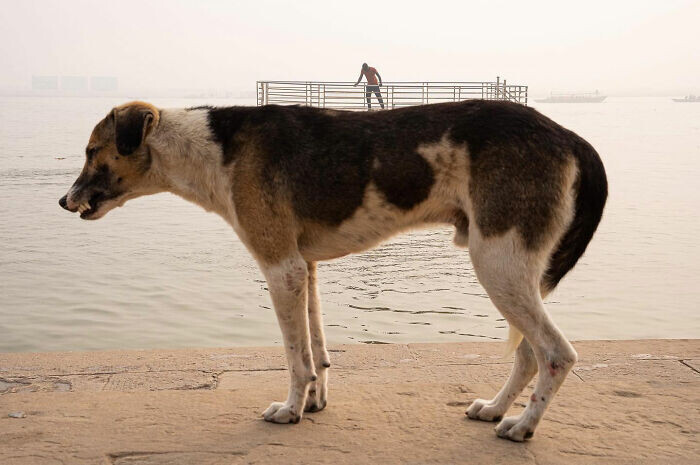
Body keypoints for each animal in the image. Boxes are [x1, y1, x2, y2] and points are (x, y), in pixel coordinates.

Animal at [60, 99, 608, 440]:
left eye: (91, 152)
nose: (63, 202)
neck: (214, 149)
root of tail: (569, 136)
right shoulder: (306, 268)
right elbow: (319, 352)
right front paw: (316, 403)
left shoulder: (281, 268)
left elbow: (296, 358)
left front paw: (290, 411)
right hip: (514, 274)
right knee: (528, 354)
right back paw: (495, 409)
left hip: (498, 264)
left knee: (556, 354)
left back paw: (521, 428)